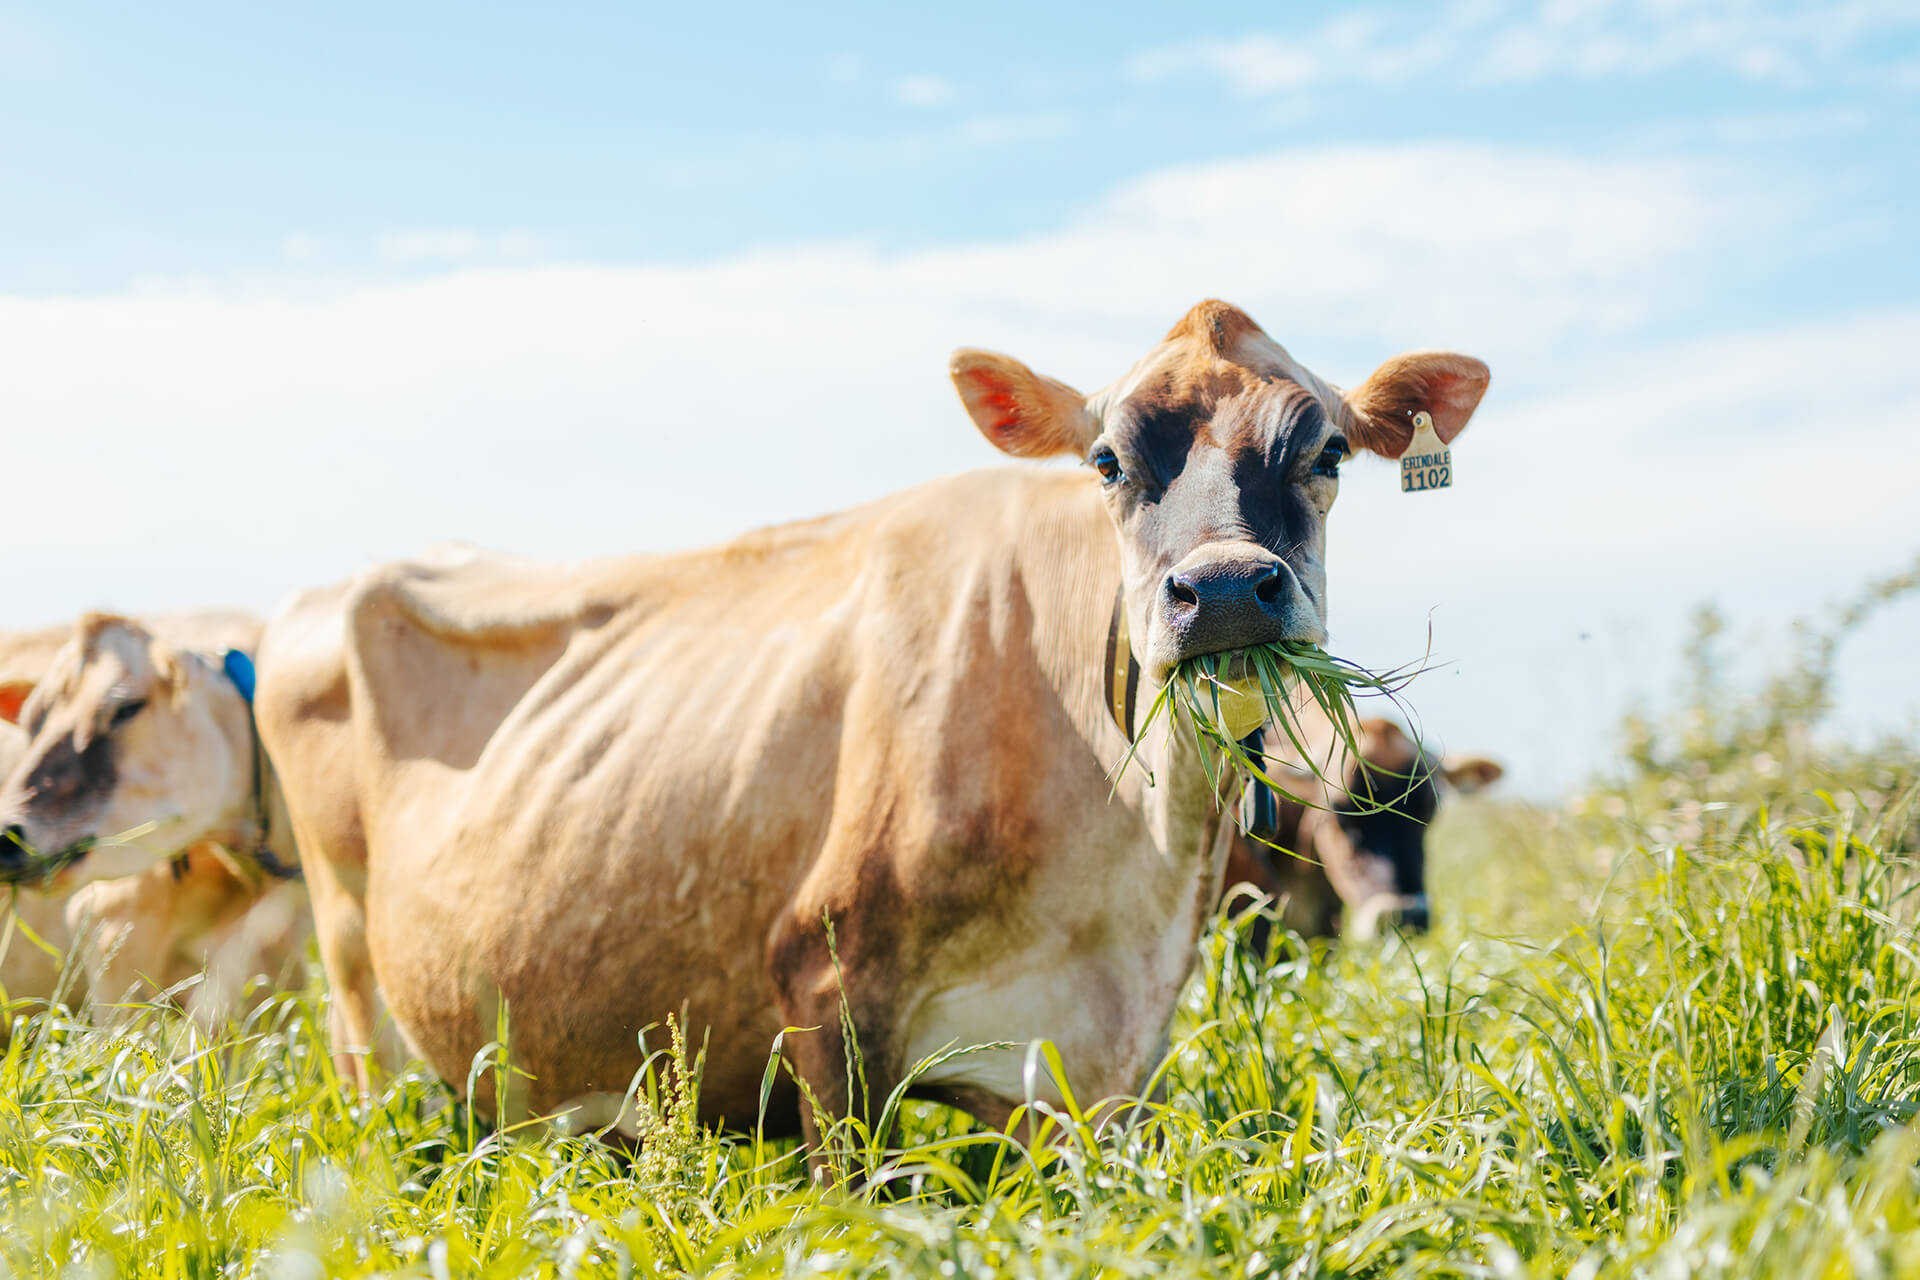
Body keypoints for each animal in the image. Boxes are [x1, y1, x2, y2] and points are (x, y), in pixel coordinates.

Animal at [243, 303, 1482, 1151]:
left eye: (1327, 453)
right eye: (1106, 460)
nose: (1223, 588)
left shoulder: (1097, 1079)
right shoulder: (826, 992)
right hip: (356, 996)